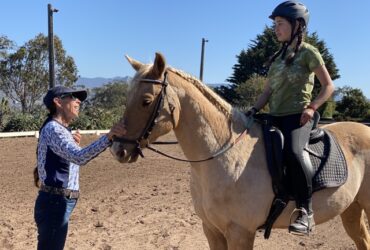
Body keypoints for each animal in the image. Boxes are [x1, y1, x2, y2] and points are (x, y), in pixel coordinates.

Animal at [110, 51, 370, 249]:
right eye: (127, 97)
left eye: (146, 101)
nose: (117, 149)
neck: (225, 156)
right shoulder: (212, 229)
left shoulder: (240, 232)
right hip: (351, 208)